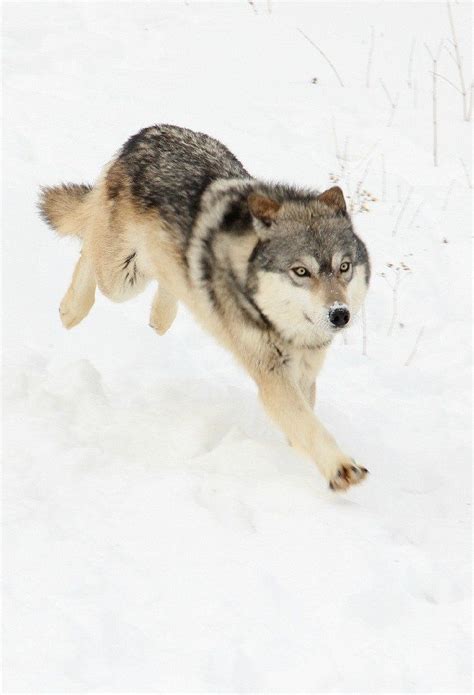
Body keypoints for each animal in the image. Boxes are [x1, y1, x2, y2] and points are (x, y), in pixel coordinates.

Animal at [39, 124, 370, 491]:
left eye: (344, 267)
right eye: (301, 272)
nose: (340, 315)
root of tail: (144, 134)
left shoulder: (304, 376)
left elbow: (304, 424)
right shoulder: (272, 376)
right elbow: (308, 425)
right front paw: (340, 467)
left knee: (164, 278)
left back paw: (160, 317)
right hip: (122, 279)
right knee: (88, 245)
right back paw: (71, 310)